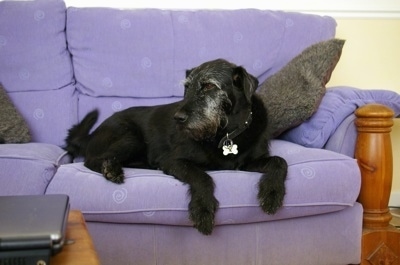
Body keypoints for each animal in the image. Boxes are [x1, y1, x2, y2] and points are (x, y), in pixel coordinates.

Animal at [67, 57, 290, 233]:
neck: (225, 134)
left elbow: (280, 161)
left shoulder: (249, 162)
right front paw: (202, 209)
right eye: (187, 87)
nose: (178, 118)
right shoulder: (173, 161)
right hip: (131, 138)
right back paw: (111, 169)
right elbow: (202, 177)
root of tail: (92, 134)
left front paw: (272, 194)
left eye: (209, 86)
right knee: (92, 160)